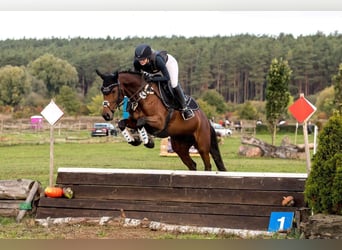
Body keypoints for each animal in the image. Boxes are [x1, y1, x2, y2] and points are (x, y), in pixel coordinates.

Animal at [95, 70, 227, 172]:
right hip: (180, 146)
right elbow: (122, 123)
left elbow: (141, 122)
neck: (143, 97)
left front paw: (148, 141)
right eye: (102, 91)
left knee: (207, 165)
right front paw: (134, 140)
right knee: (192, 164)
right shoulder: (132, 120)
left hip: (202, 144)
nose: (106, 115)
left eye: (113, 91)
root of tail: (206, 120)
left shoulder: (159, 122)